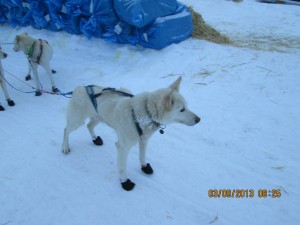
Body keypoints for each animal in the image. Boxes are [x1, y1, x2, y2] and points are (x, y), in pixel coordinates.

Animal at [61, 77, 200, 190]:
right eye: (182, 110)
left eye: (186, 106)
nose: (199, 119)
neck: (145, 113)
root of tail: (79, 87)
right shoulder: (123, 148)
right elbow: (122, 167)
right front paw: (124, 182)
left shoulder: (143, 141)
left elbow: (142, 156)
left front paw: (144, 167)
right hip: (77, 121)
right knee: (66, 130)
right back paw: (65, 147)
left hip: (99, 118)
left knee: (89, 126)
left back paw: (95, 139)